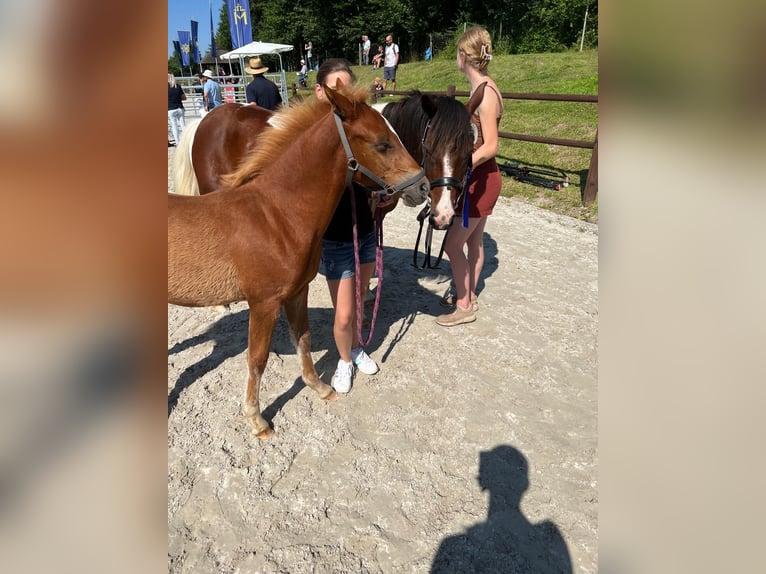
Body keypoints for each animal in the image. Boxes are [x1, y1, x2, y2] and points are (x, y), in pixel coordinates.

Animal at [168, 85, 429, 439]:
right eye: (383, 144)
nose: (423, 188)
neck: (277, 215)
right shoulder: (264, 303)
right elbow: (257, 359)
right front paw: (257, 420)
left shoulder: (296, 293)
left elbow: (303, 339)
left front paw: (320, 388)